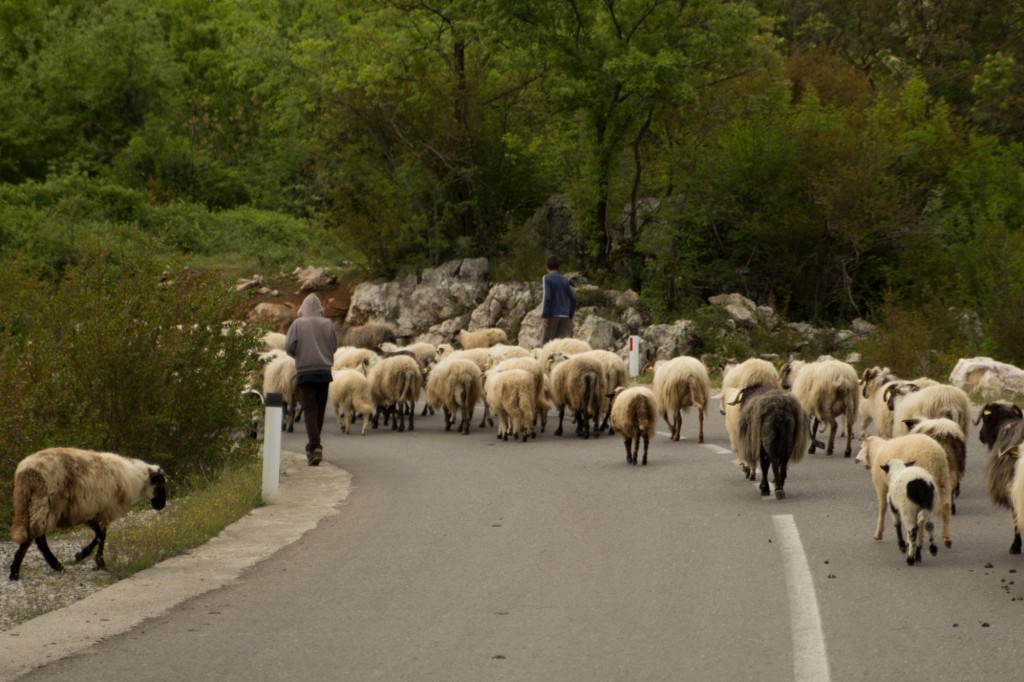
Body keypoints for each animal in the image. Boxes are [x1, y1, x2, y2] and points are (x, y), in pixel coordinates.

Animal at [7, 446, 165, 577]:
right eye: (160, 483)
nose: (161, 505)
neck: (133, 479)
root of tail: (27, 472)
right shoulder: (102, 510)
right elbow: (101, 536)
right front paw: (95, 561)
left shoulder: (95, 512)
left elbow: (100, 535)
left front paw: (84, 556)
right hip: (46, 503)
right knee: (37, 537)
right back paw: (38, 568)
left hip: (27, 503)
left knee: (33, 535)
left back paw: (20, 569)